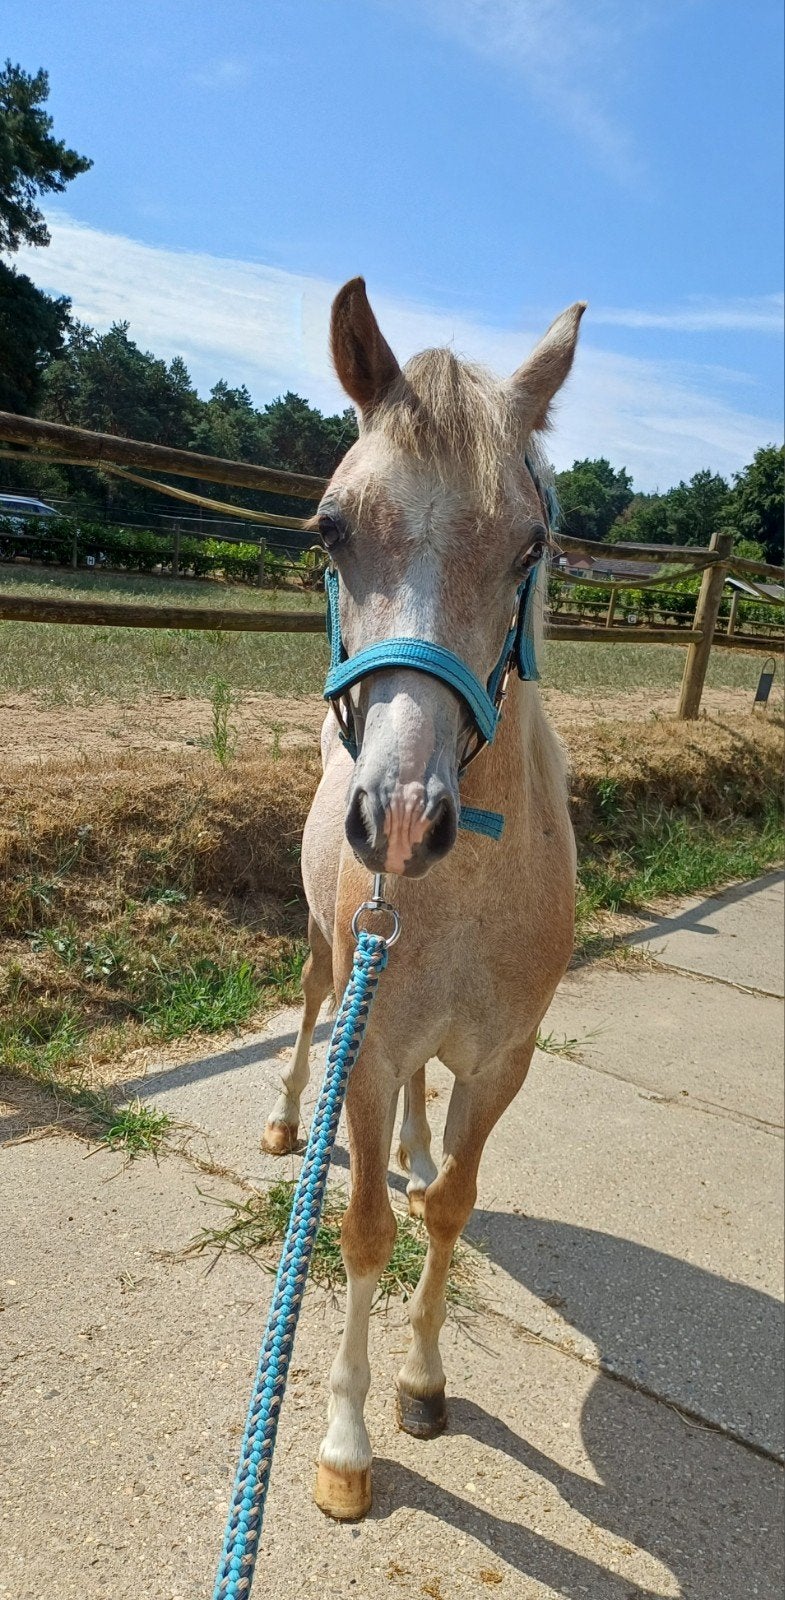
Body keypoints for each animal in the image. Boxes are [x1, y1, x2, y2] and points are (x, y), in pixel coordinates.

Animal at [261, 277, 585, 1521]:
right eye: (330, 530)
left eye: (530, 543)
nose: (398, 819)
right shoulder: (369, 1046)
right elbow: (357, 1232)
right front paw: (346, 1443)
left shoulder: (500, 1063)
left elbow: (447, 1204)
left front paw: (421, 1382)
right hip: (323, 954)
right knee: (310, 1015)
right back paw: (281, 1117)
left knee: (419, 1130)